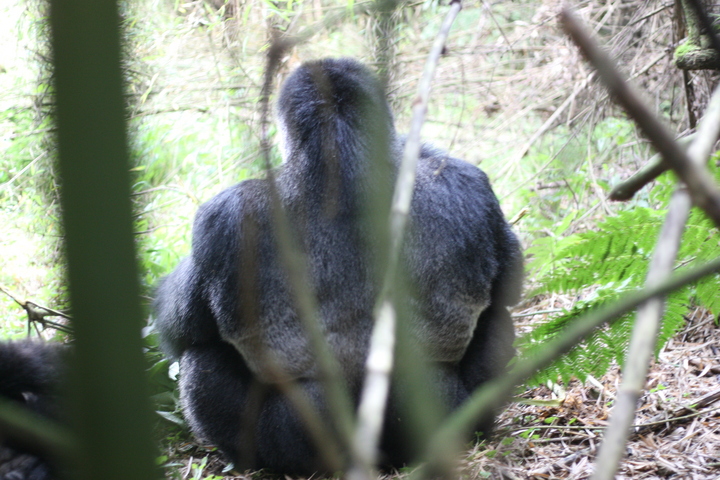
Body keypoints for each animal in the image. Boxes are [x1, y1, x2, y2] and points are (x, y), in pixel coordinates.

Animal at [154, 57, 523, 474]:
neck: (340, 154)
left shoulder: (221, 216)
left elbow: (178, 330)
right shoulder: (469, 182)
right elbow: (509, 284)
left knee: (201, 357)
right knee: (498, 319)